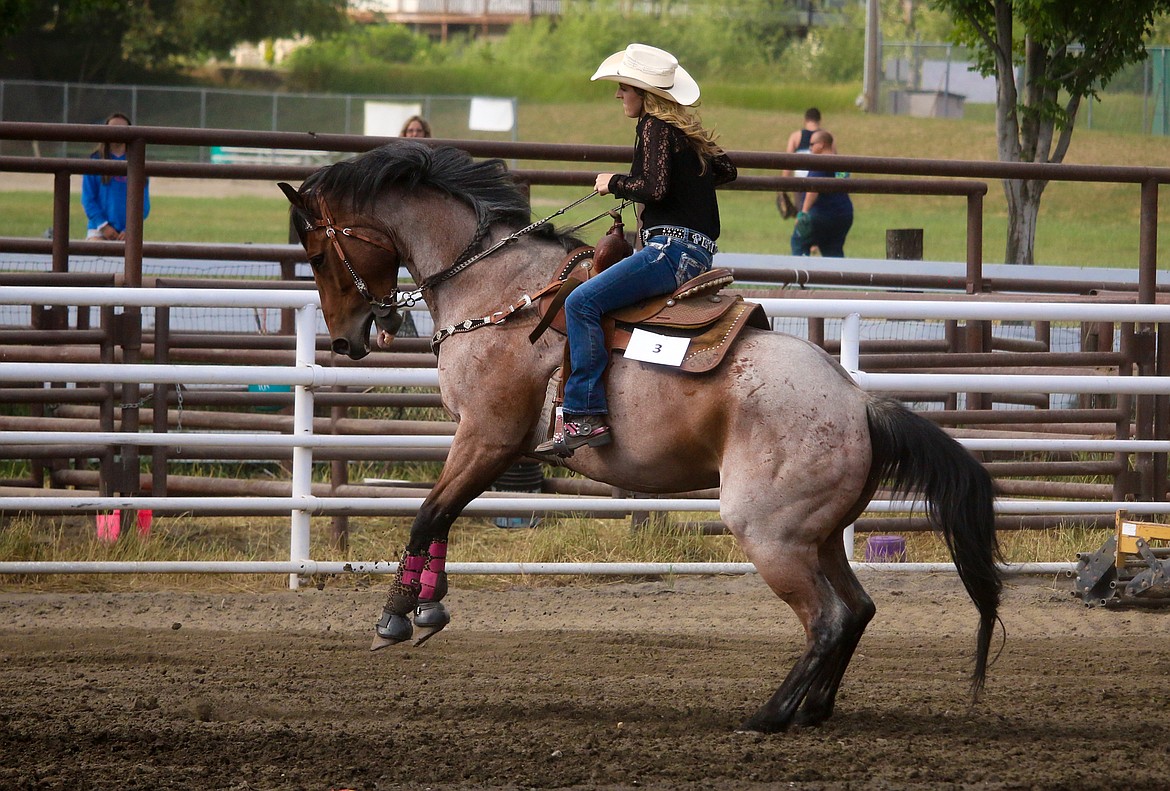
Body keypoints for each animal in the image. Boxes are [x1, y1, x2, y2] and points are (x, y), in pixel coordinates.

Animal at [278, 142, 1001, 734]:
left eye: (315, 252)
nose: (347, 339)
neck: (498, 288)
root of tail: (858, 403)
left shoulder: (489, 435)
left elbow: (430, 511)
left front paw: (399, 616)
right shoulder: (487, 442)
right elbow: (442, 515)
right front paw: (429, 607)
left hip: (771, 535)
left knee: (828, 618)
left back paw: (768, 715)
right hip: (816, 536)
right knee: (857, 609)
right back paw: (813, 709)